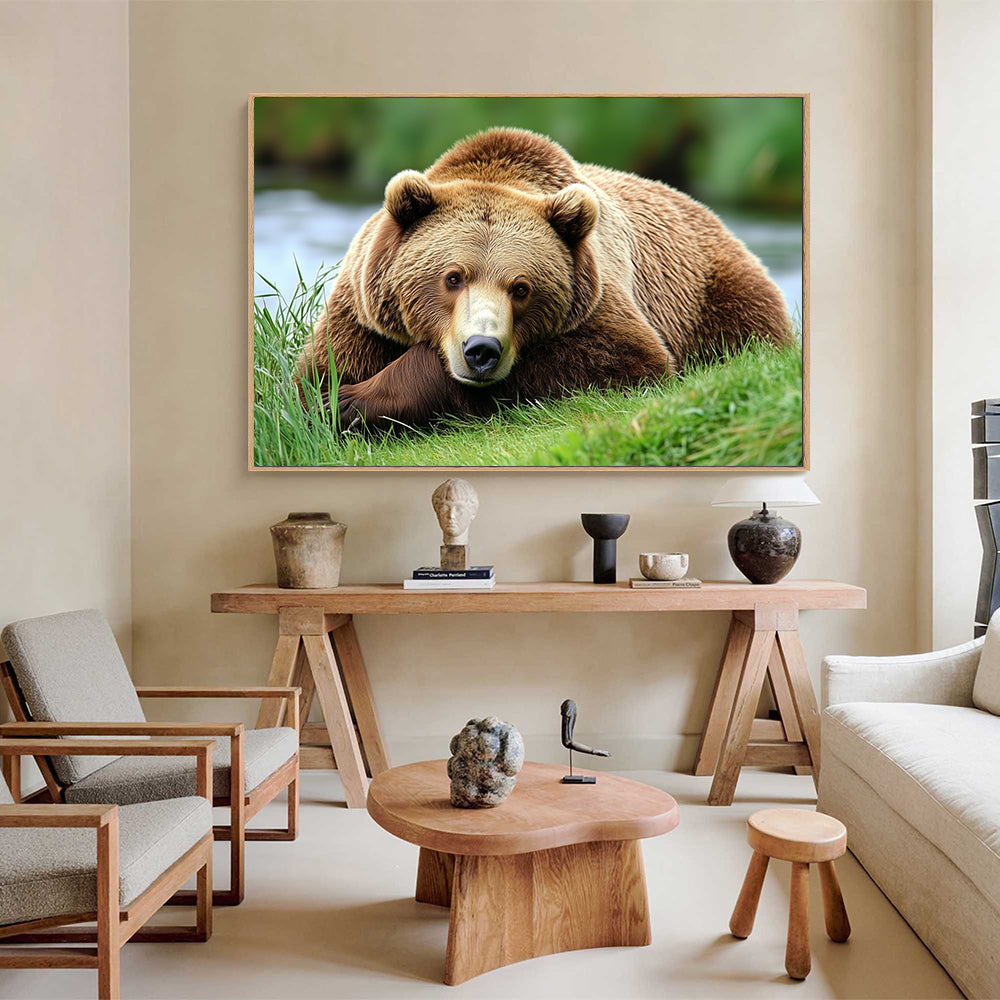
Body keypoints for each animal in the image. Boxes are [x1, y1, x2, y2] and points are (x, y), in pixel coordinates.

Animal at [295, 127, 792, 429]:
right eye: (452, 277)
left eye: (521, 288)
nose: (481, 351)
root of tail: (713, 216)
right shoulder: (364, 313)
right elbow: (315, 375)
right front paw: (331, 400)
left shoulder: (596, 296)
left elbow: (626, 356)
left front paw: (353, 400)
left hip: (714, 291)